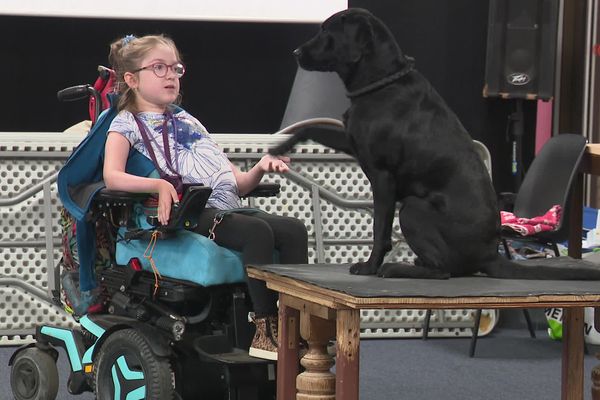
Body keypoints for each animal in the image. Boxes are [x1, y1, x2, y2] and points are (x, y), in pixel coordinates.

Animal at [270, 7, 600, 280]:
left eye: (327, 31)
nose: (296, 51)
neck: (381, 81)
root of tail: (491, 254)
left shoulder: (383, 176)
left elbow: (380, 230)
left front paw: (370, 266)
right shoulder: (353, 141)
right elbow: (309, 128)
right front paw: (278, 147)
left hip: (413, 209)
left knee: (443, 271)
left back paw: (395, 268)